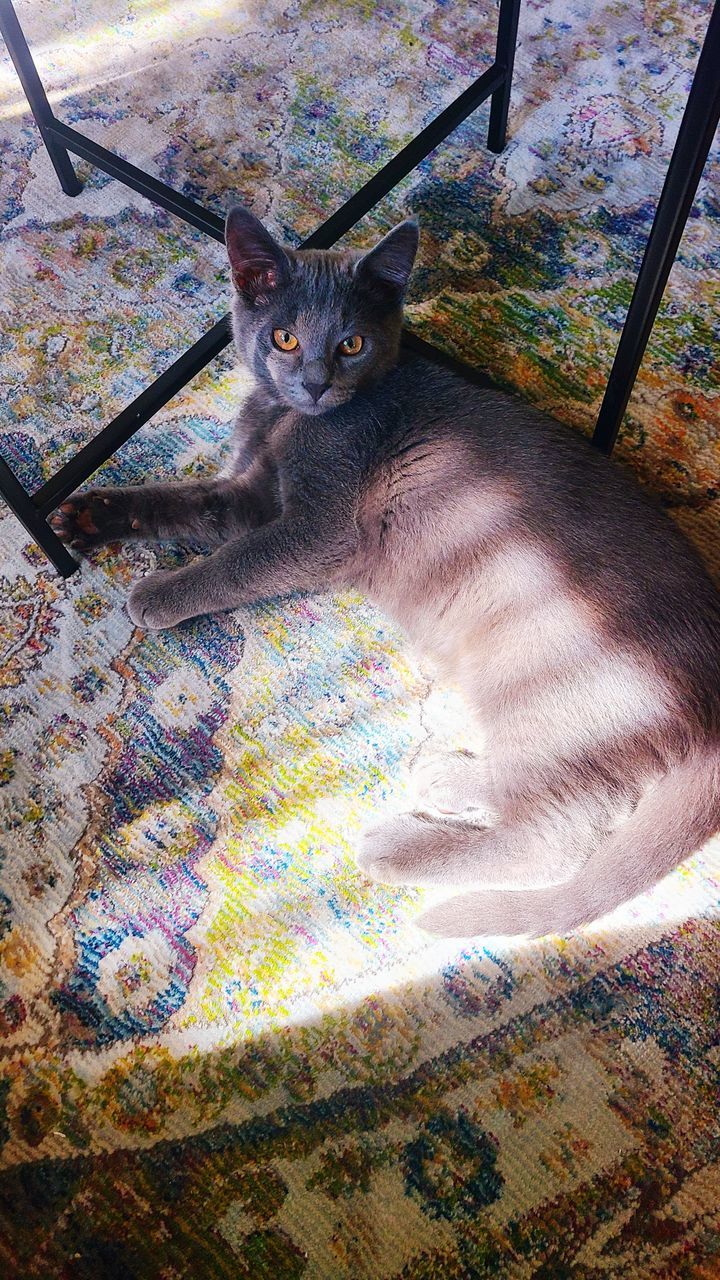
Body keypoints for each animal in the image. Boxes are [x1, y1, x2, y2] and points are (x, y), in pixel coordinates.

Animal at [51, 204, 717, 936]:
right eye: (284, 337)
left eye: (352, 344)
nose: (315, 382)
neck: (284, 419)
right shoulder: (249, 496)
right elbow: (178, 501)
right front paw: (89, 516)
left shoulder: (318, 531)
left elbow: (232, 563)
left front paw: (159, 593)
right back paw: (446, 778)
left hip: (543, 684)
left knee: (556, 841)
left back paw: (394, 849)